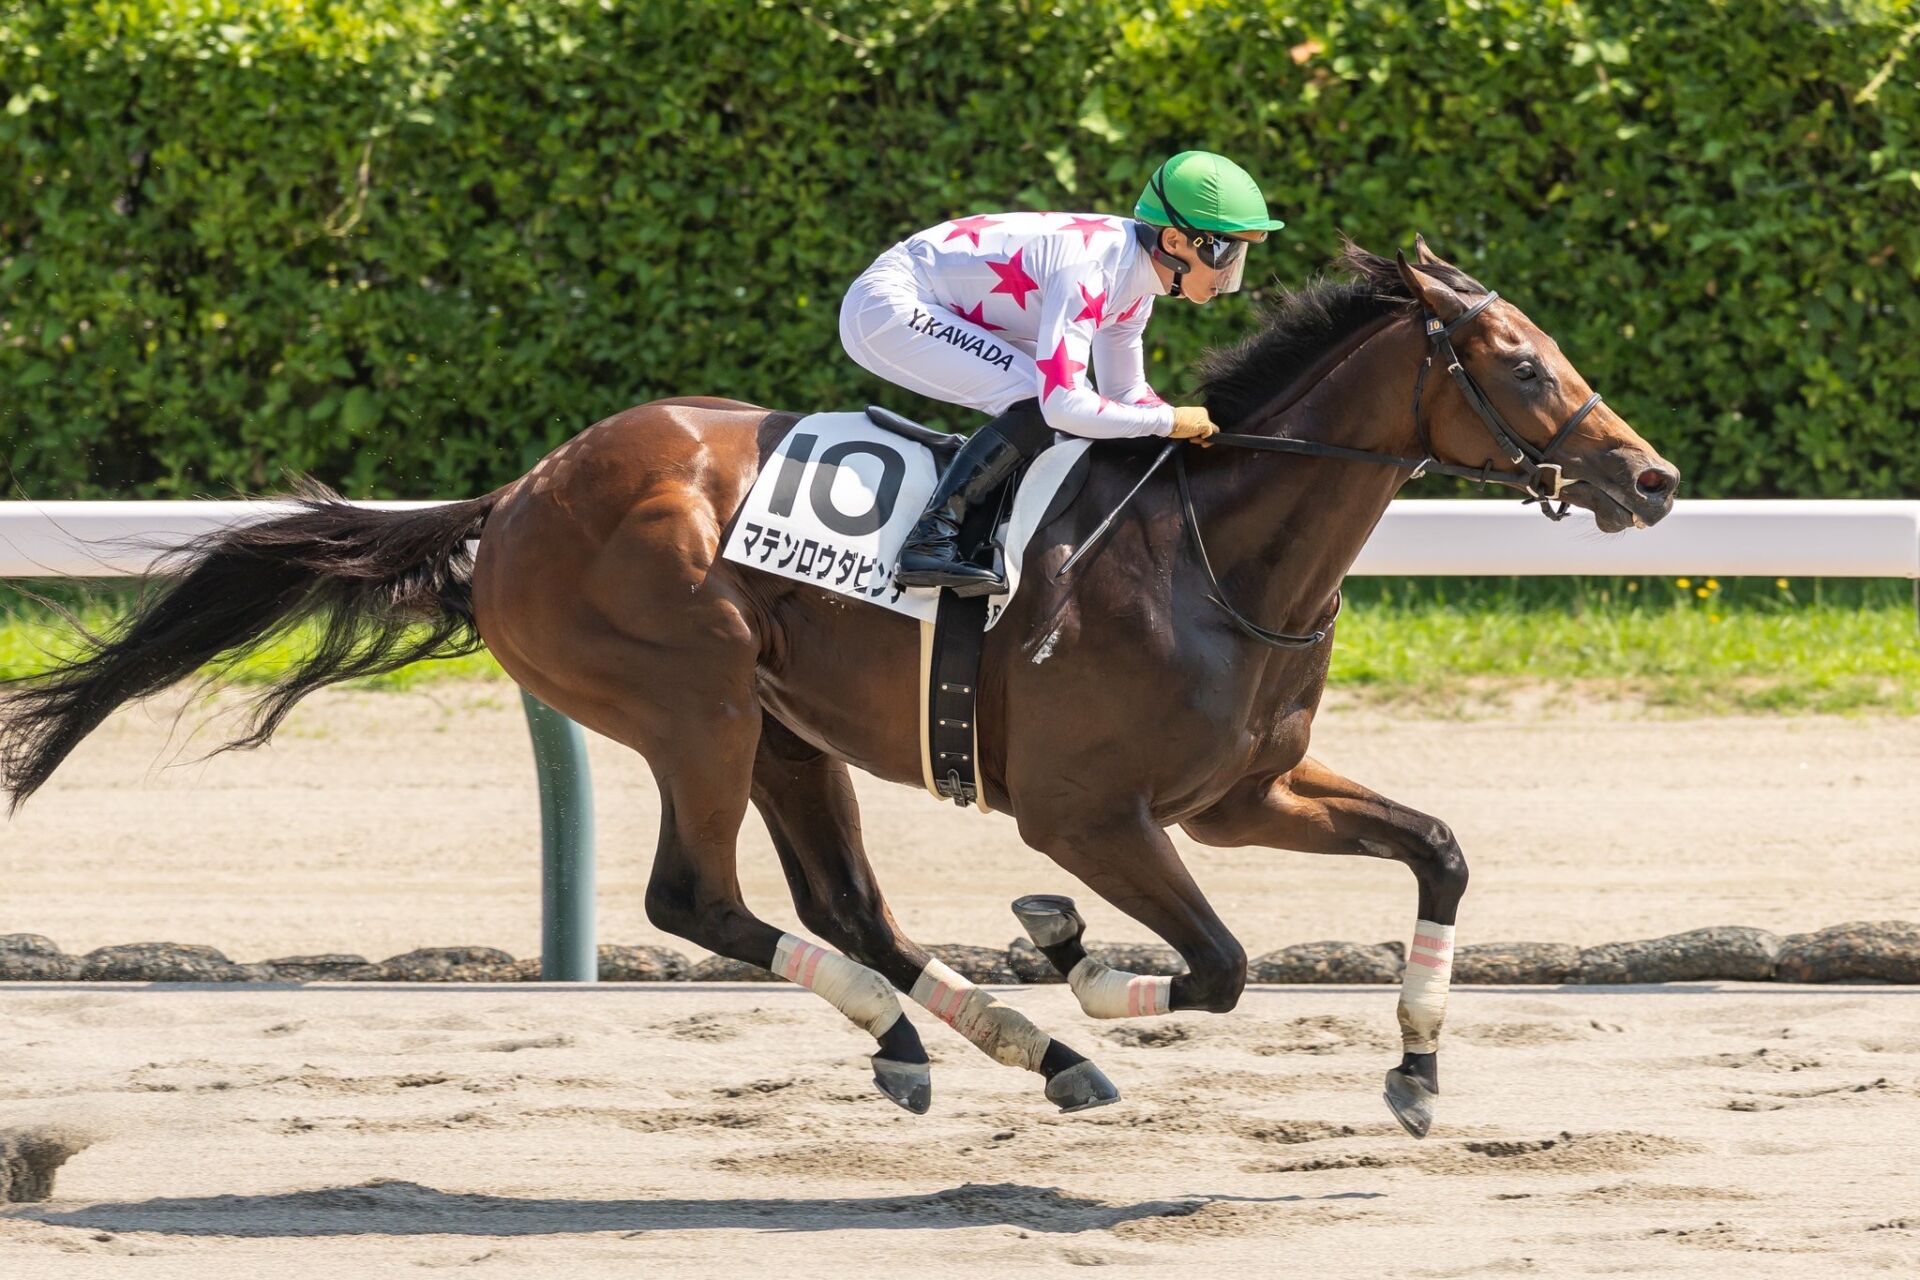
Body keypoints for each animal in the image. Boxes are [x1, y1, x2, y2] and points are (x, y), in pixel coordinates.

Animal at [0, 239, 1678, 1137]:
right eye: (1520, 365)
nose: (1651, 479)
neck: (1217, 553)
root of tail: (518, 495)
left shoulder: (1245, 790)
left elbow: (1438, 851)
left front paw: (1416, 1071)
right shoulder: (1090, 814)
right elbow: (1216, 964)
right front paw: (1084, 960)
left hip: (787, 728)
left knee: (845, 908)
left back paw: (999, 1049)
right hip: (693, 700)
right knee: (699, 900)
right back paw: (973, 1034)